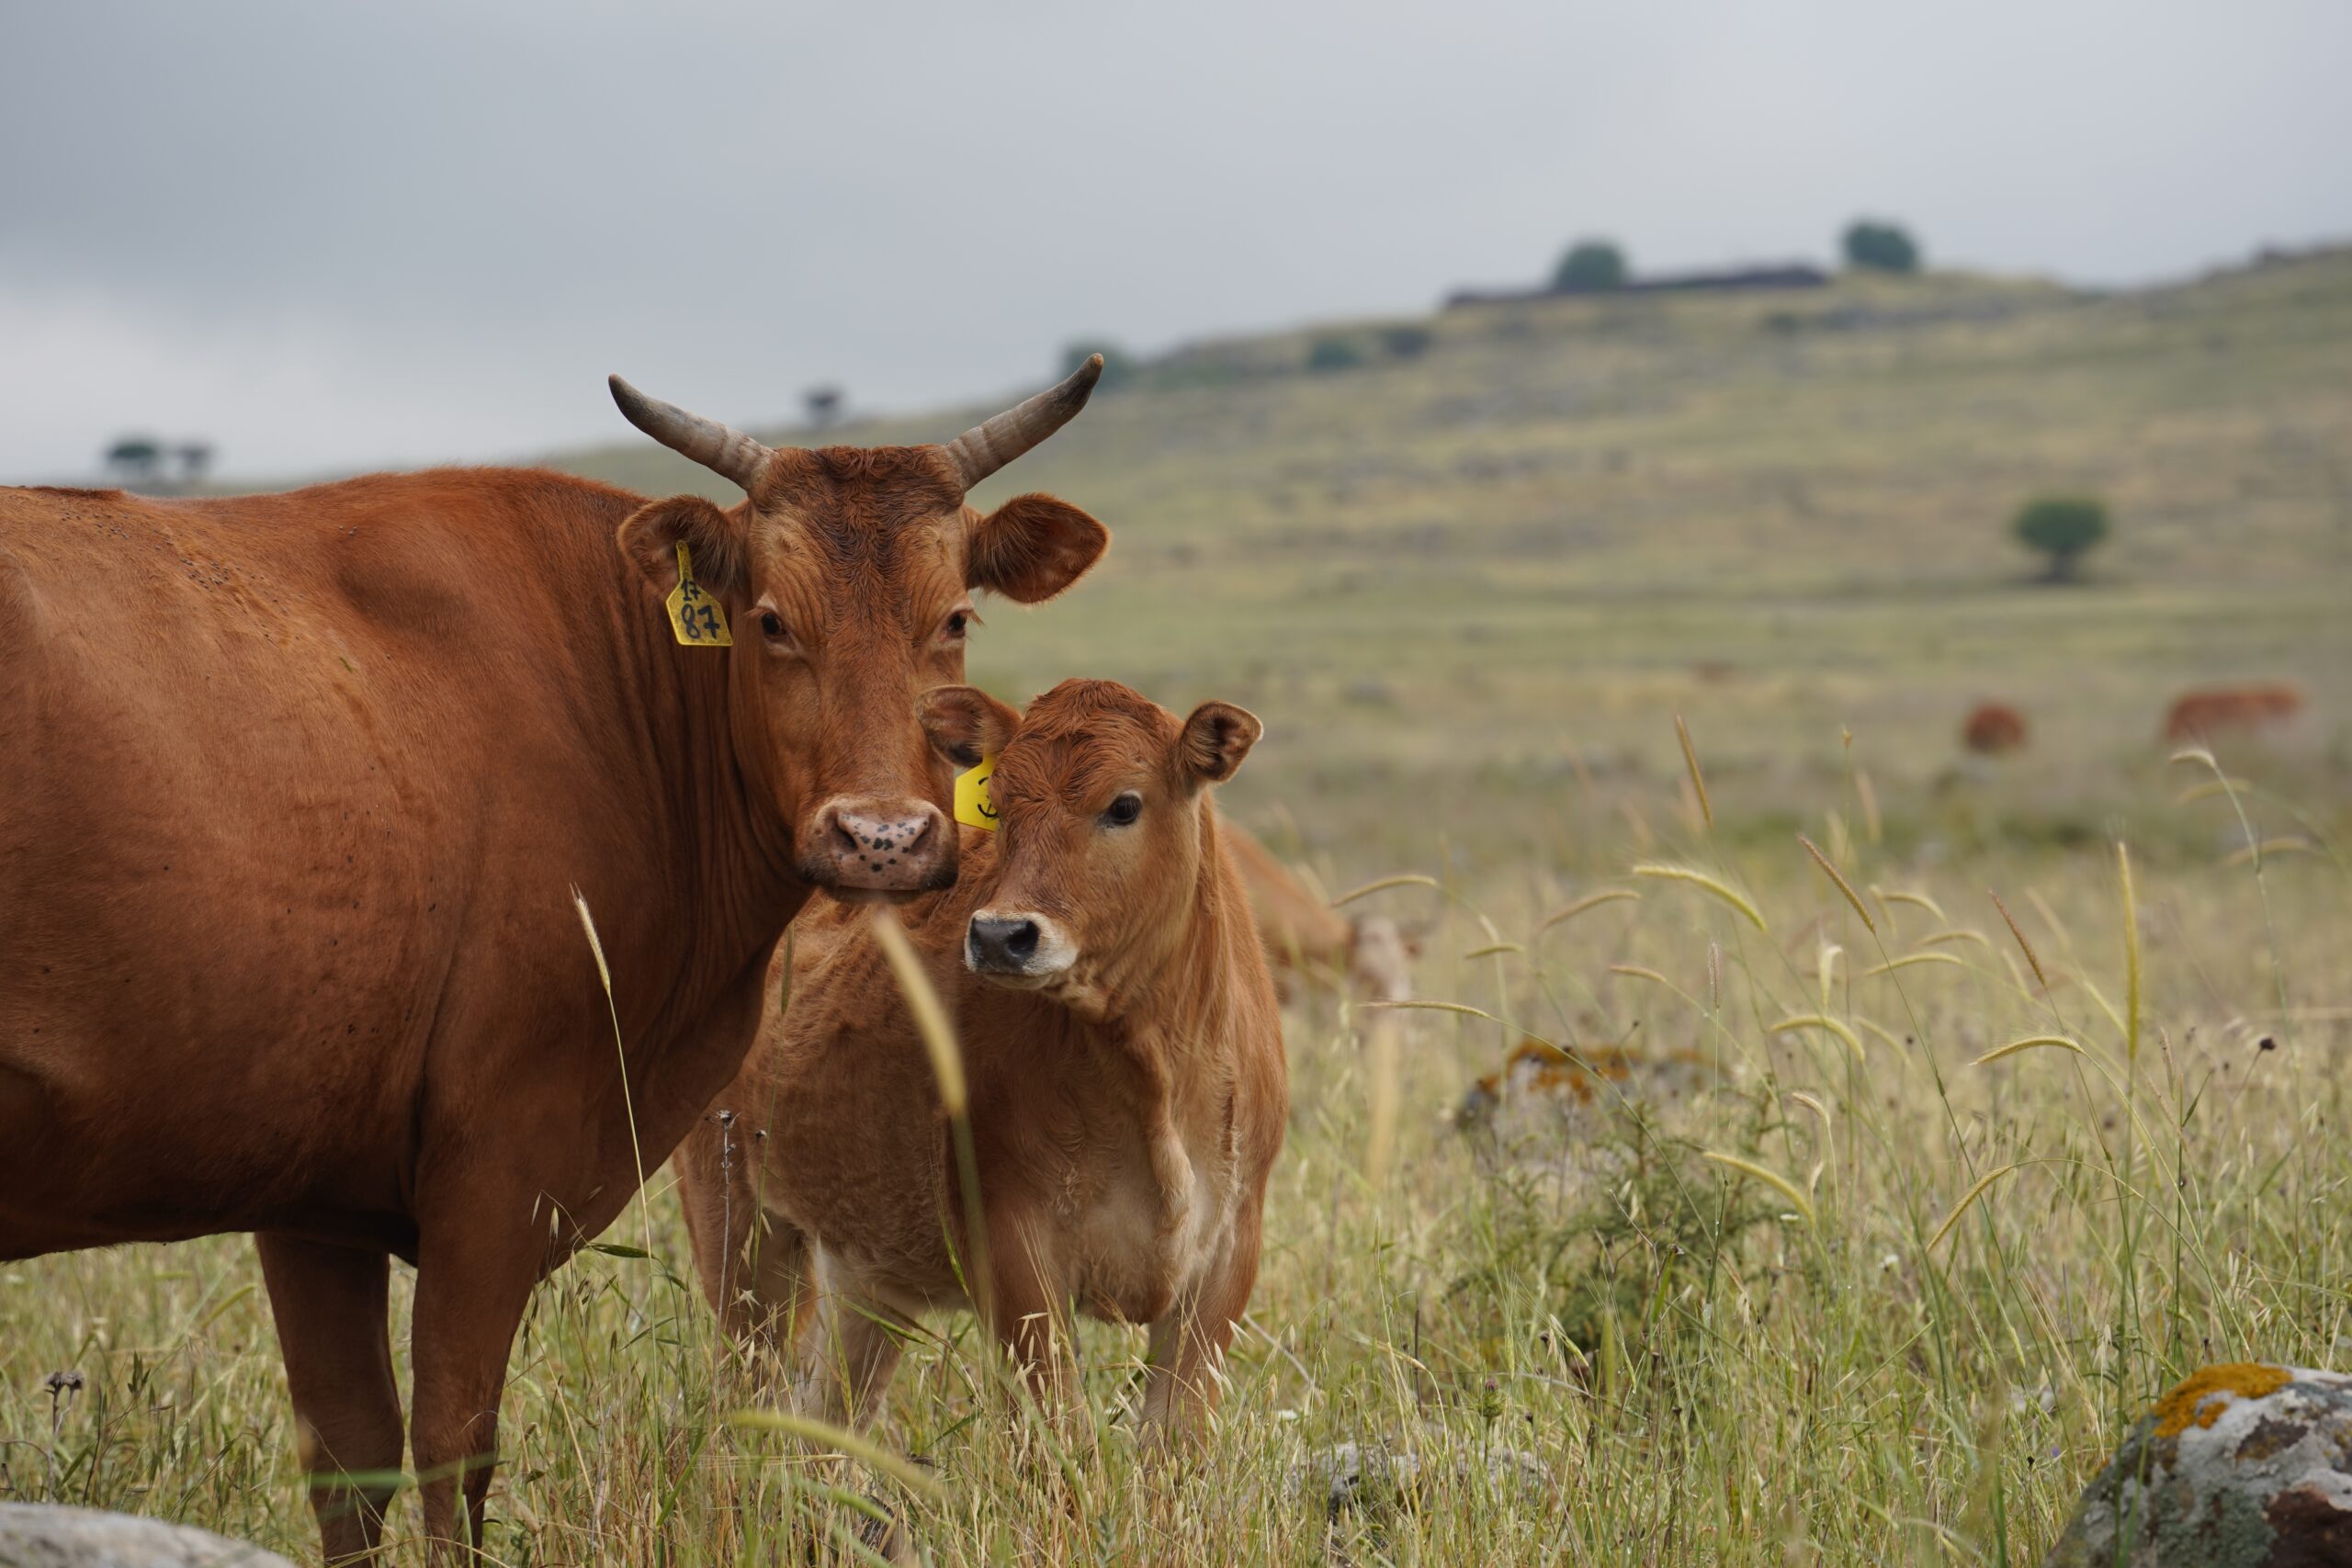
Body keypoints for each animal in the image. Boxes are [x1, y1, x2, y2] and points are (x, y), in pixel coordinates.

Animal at [0, 359, 1108, 1562]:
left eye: (952, 618)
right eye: (771, 620)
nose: (882, 837)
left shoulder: (308, 1196)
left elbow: (349, 1455)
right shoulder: (497, 1167)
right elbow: (453, 1440)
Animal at [673, 679, 1287, 1446]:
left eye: (1124, 804)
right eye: (997, 802)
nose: (1001, 934)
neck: (1154, 1071)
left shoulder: (1230, 1248)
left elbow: (1175, 1441)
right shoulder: (1016, 1247)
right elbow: (1060, 1435)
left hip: (868, 1269)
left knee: (828, 1413)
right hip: (734, 1219)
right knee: (742, 1394)